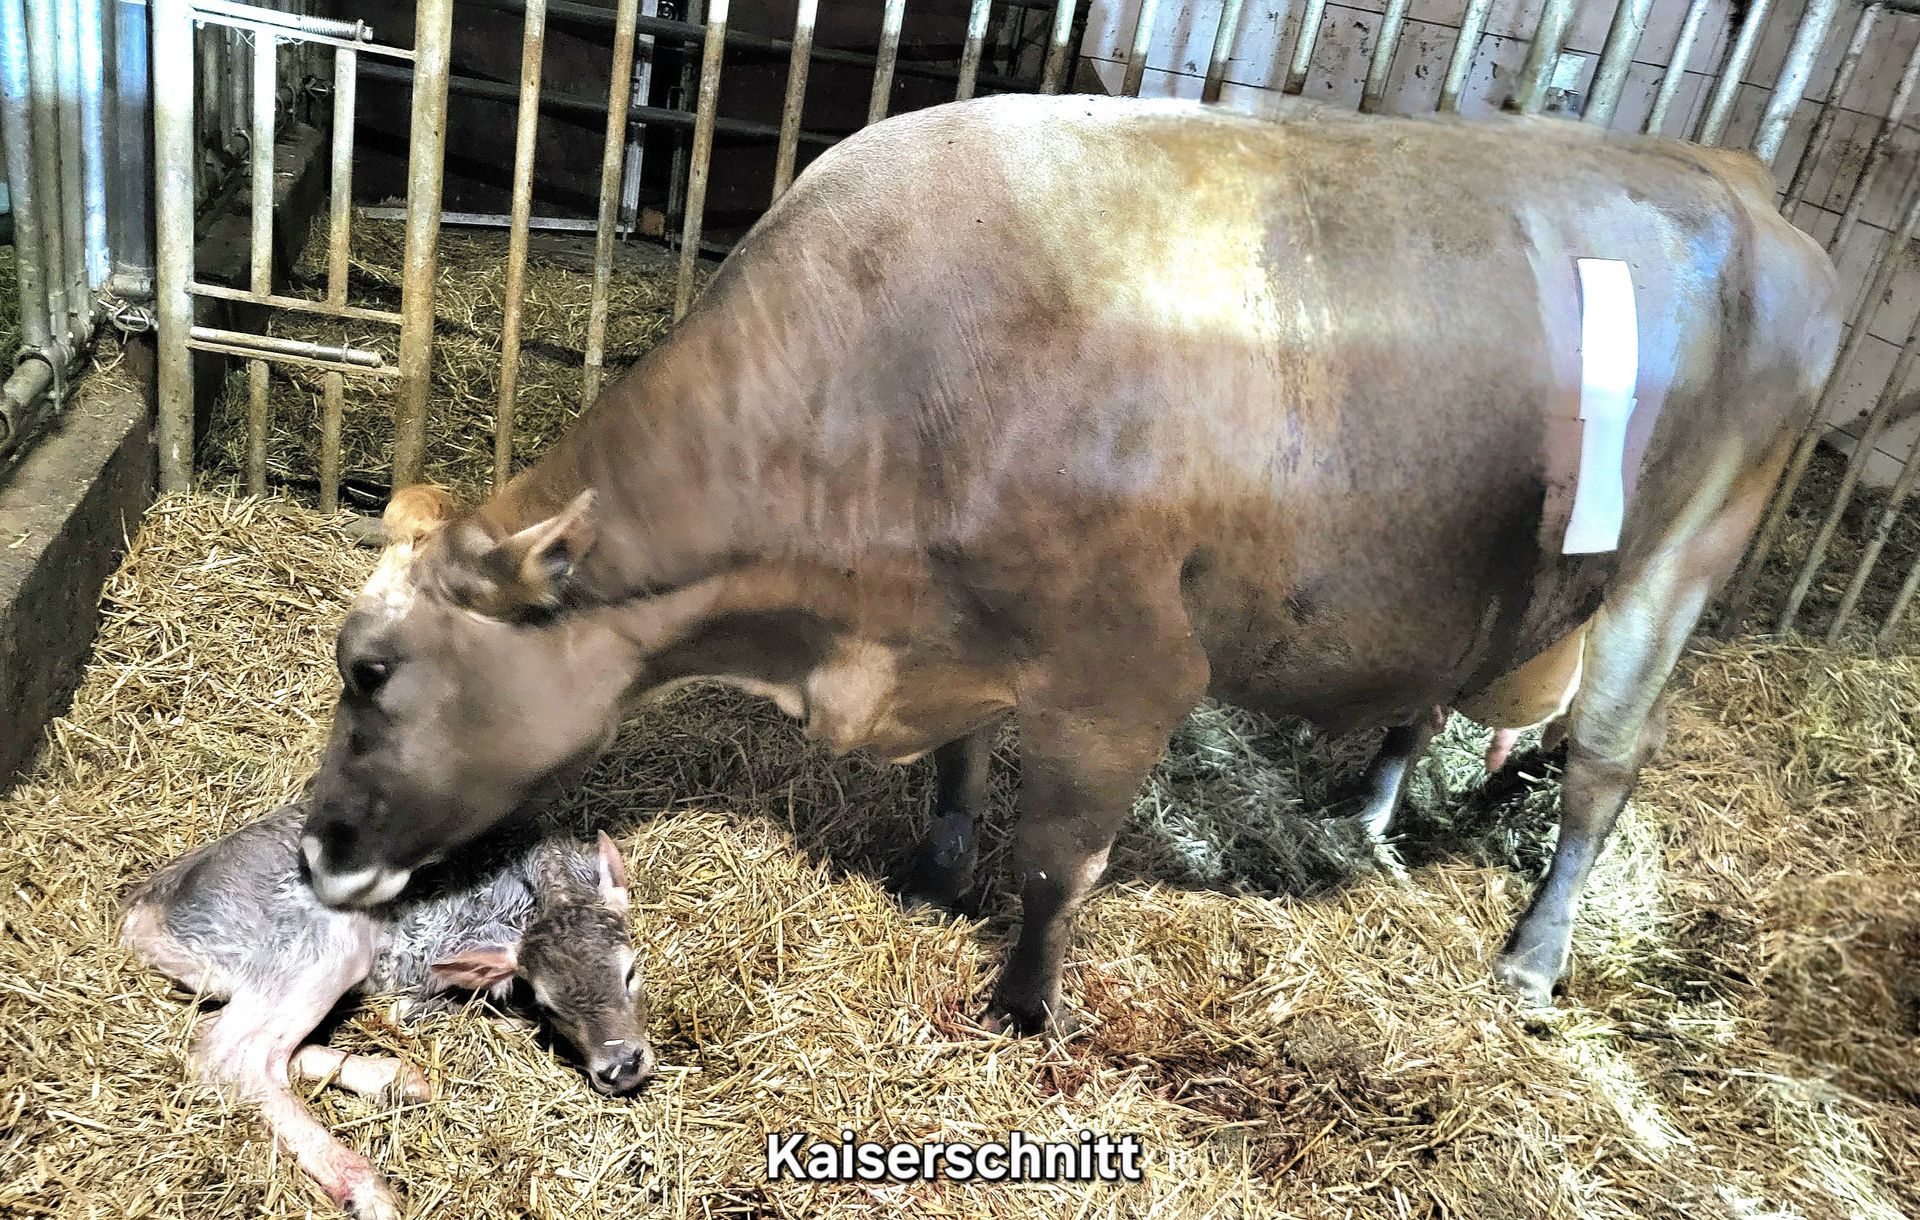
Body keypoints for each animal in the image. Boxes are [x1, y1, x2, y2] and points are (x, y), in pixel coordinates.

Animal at [294, 94, 1839, 1035]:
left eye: (372, 669)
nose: (315, 849)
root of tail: (1736, 173)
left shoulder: (1127, 668)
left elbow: (1056, 862)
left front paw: (1022, 1001)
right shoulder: (958, 634)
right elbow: (959, 769)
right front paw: (934, 863)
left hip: (1677, 563)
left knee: (1603, 768)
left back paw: (1531, 954)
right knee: (1436, 693)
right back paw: (1368, 807)